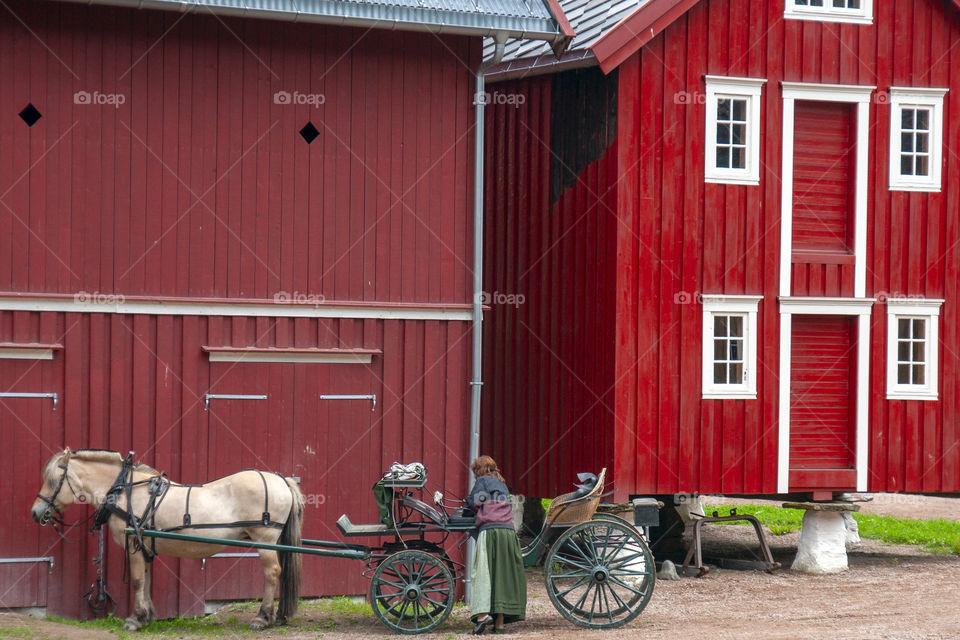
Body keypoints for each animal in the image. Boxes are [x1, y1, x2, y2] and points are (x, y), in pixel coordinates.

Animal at [31, 448, 304, 632]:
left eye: (53, 481)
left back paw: (262, 618)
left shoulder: (133, 545)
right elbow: (147, 580)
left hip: (264, 539)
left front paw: (135, 619)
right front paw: (147, 616)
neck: (125, 492)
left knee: (272, 573)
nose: (36, 512)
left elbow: (137, 581)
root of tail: (282, 479)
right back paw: (277, 616)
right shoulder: (143, 545)